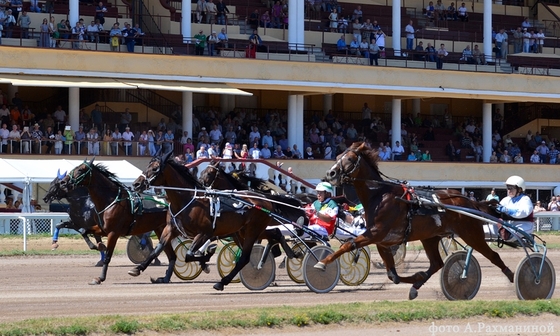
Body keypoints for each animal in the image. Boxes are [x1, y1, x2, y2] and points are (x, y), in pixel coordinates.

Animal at [131, 151, 306, 290]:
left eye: (155, 169)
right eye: (147, 166)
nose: (136, 184)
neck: (188, 199)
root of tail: (264, 199)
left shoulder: (205, 233)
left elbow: (189, 254)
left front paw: (207, 256)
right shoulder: (171, 228)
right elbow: (158, 248)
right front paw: (138, 268)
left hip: (252, 231)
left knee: (245, 256)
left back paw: (223, 282)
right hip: (247, 231)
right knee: (275, 234)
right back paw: (291, 254)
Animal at [316, 142, 512, 300]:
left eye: (349, 158)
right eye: (337, 157)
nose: (330, 173)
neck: (379, 196)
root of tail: (469, 201)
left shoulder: (374, 234)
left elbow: (347, 245)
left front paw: (322, 263)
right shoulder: (383, 242)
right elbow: (393, 276)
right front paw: (417, 278)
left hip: (471, 234)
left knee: (493, 256)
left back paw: (512, 276)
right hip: (430, 237)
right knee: (437, 264)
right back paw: (416, 286)